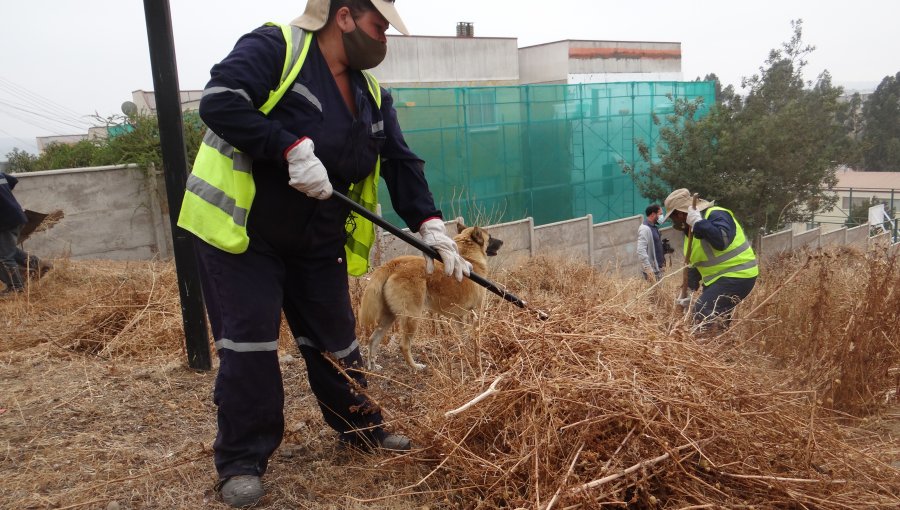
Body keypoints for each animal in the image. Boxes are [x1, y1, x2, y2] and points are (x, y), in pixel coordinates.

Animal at [358, 223, 502, 370]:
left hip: (389, 316)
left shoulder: (459, 317)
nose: (502, 242)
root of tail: (396, 263)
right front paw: (476, 357)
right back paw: (415, 367)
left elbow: (463, 337)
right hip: (412, 317)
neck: (468, 255)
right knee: (403, 346)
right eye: (490, 237)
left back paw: (373, 366)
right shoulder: (476, 313)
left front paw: (465, 352)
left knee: (373, 340)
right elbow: (474, 338)